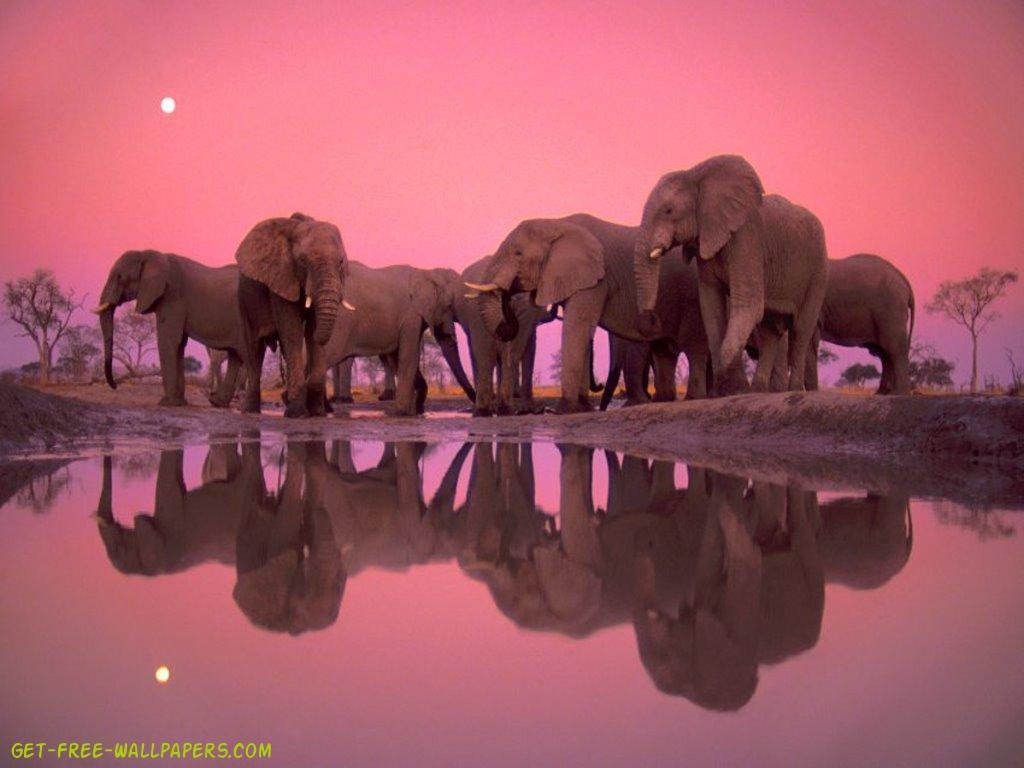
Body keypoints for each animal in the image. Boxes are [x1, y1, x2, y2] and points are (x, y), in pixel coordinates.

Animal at [93, 250, 245, 407]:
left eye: (119, 277)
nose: (115, 385)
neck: (149, 254)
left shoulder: (172, 297)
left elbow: (167, 340)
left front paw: (166, 402)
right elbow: (179, 344)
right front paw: (179, 403)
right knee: (235, 356)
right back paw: (217, 402)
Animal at [235, 212, 350, 418]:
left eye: (341, 262)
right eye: (303, 262)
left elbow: (311, 332)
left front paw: (317, 413)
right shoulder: (281, 278)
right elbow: (292, 331)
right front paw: (297, 413)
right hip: (244, 300)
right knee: (254, 349)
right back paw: (250, 411)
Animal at [321, 262, 474, 416]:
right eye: (450, 305)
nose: (469, 409)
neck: (426, 273)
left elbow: (398, 358)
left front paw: (413, 409)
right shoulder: (411, 316)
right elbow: (408, 356)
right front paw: (403, 413)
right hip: (342, 322)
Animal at [468, 214, 716, 413]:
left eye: (518, 253)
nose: (507, 295)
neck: (557, 223)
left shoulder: (595, 279)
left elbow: (577, 328)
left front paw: (562, 410)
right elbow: (582, 331)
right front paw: (582, 406)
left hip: (693, 297)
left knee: (694, 346)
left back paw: (693, 398)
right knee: (664, 349)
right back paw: (662, 400)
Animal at [633, 155, 829, 393]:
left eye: (669, 211)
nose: (651, 318)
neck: (696, 175)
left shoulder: (746, 239)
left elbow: (747, 305)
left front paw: (735, 388)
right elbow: (711, 306)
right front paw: (725, 390)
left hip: (818, 270)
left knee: (801, 328)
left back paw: (791, 390)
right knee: (770, 331)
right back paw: (758, 390)